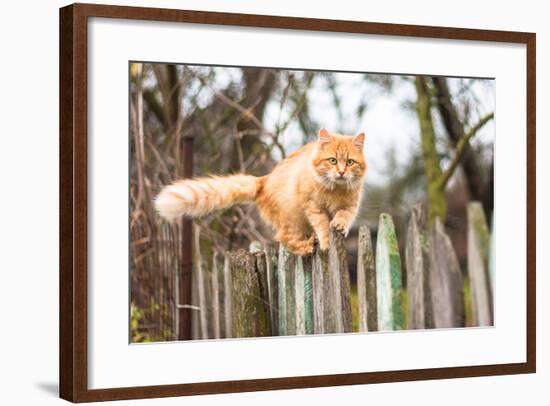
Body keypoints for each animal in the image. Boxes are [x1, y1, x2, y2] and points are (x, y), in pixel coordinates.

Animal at [154, 129, 366, 256]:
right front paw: (325, 242)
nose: (341, 172)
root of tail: (264, 180)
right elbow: (322, 225)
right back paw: (306, 247)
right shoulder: (313, 206)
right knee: (284, 238)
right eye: (332, 161)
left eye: (350, 162)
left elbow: (343, 216)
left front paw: (339, 225)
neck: (335, 190)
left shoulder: (350, 206)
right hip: (292, 219)